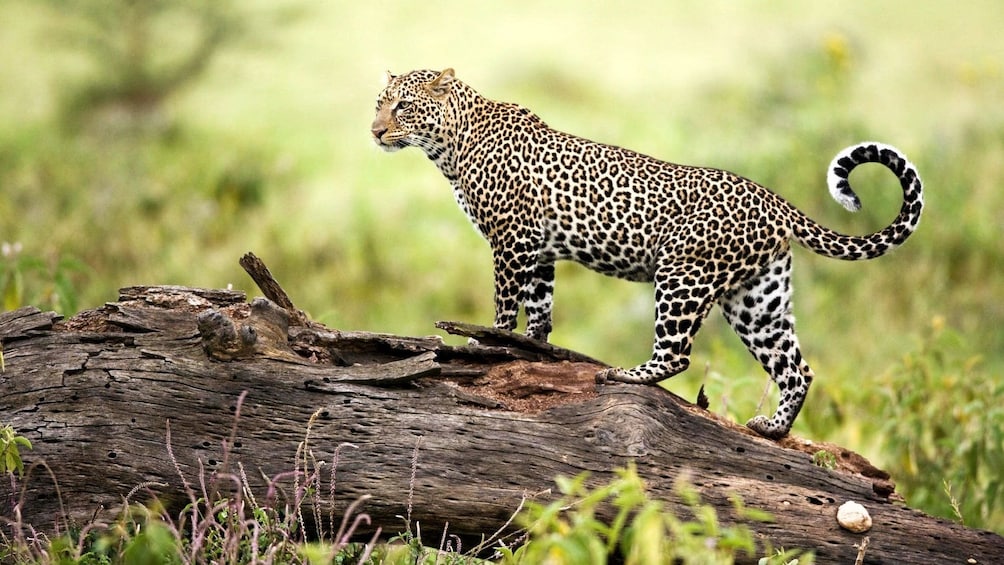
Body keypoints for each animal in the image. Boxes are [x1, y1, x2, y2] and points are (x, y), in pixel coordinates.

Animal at [371, 68, 923, 439]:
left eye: (403, 107)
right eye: (379, 103)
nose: (375, 131)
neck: (450, 145)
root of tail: (775, 200)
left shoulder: (511, 241)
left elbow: (506, 305)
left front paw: (484, 346)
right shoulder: (540, 250)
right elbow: (541, 309)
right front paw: (532, 348)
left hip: (682, 275)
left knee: (677, 354)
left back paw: (624, 373)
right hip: (757, 299)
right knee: (796, 368)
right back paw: (773, 428)